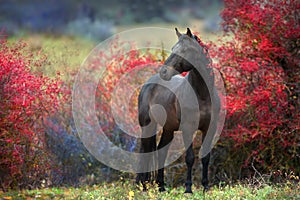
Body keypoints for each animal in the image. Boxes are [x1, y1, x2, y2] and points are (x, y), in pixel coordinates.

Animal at [137, 27, 220, 193]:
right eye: (174, 48)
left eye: (184, 51)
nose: (163, 72)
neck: (202, 95)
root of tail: (148, 83)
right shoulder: (188, 128)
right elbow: (189, 158)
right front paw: (188, 189)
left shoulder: (210, 128)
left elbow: (205, 157)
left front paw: (205, 187)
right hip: (147, 126)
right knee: (145, 151)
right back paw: (142, 186)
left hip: (168, 129)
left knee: (161, 152)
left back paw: (161, 186)